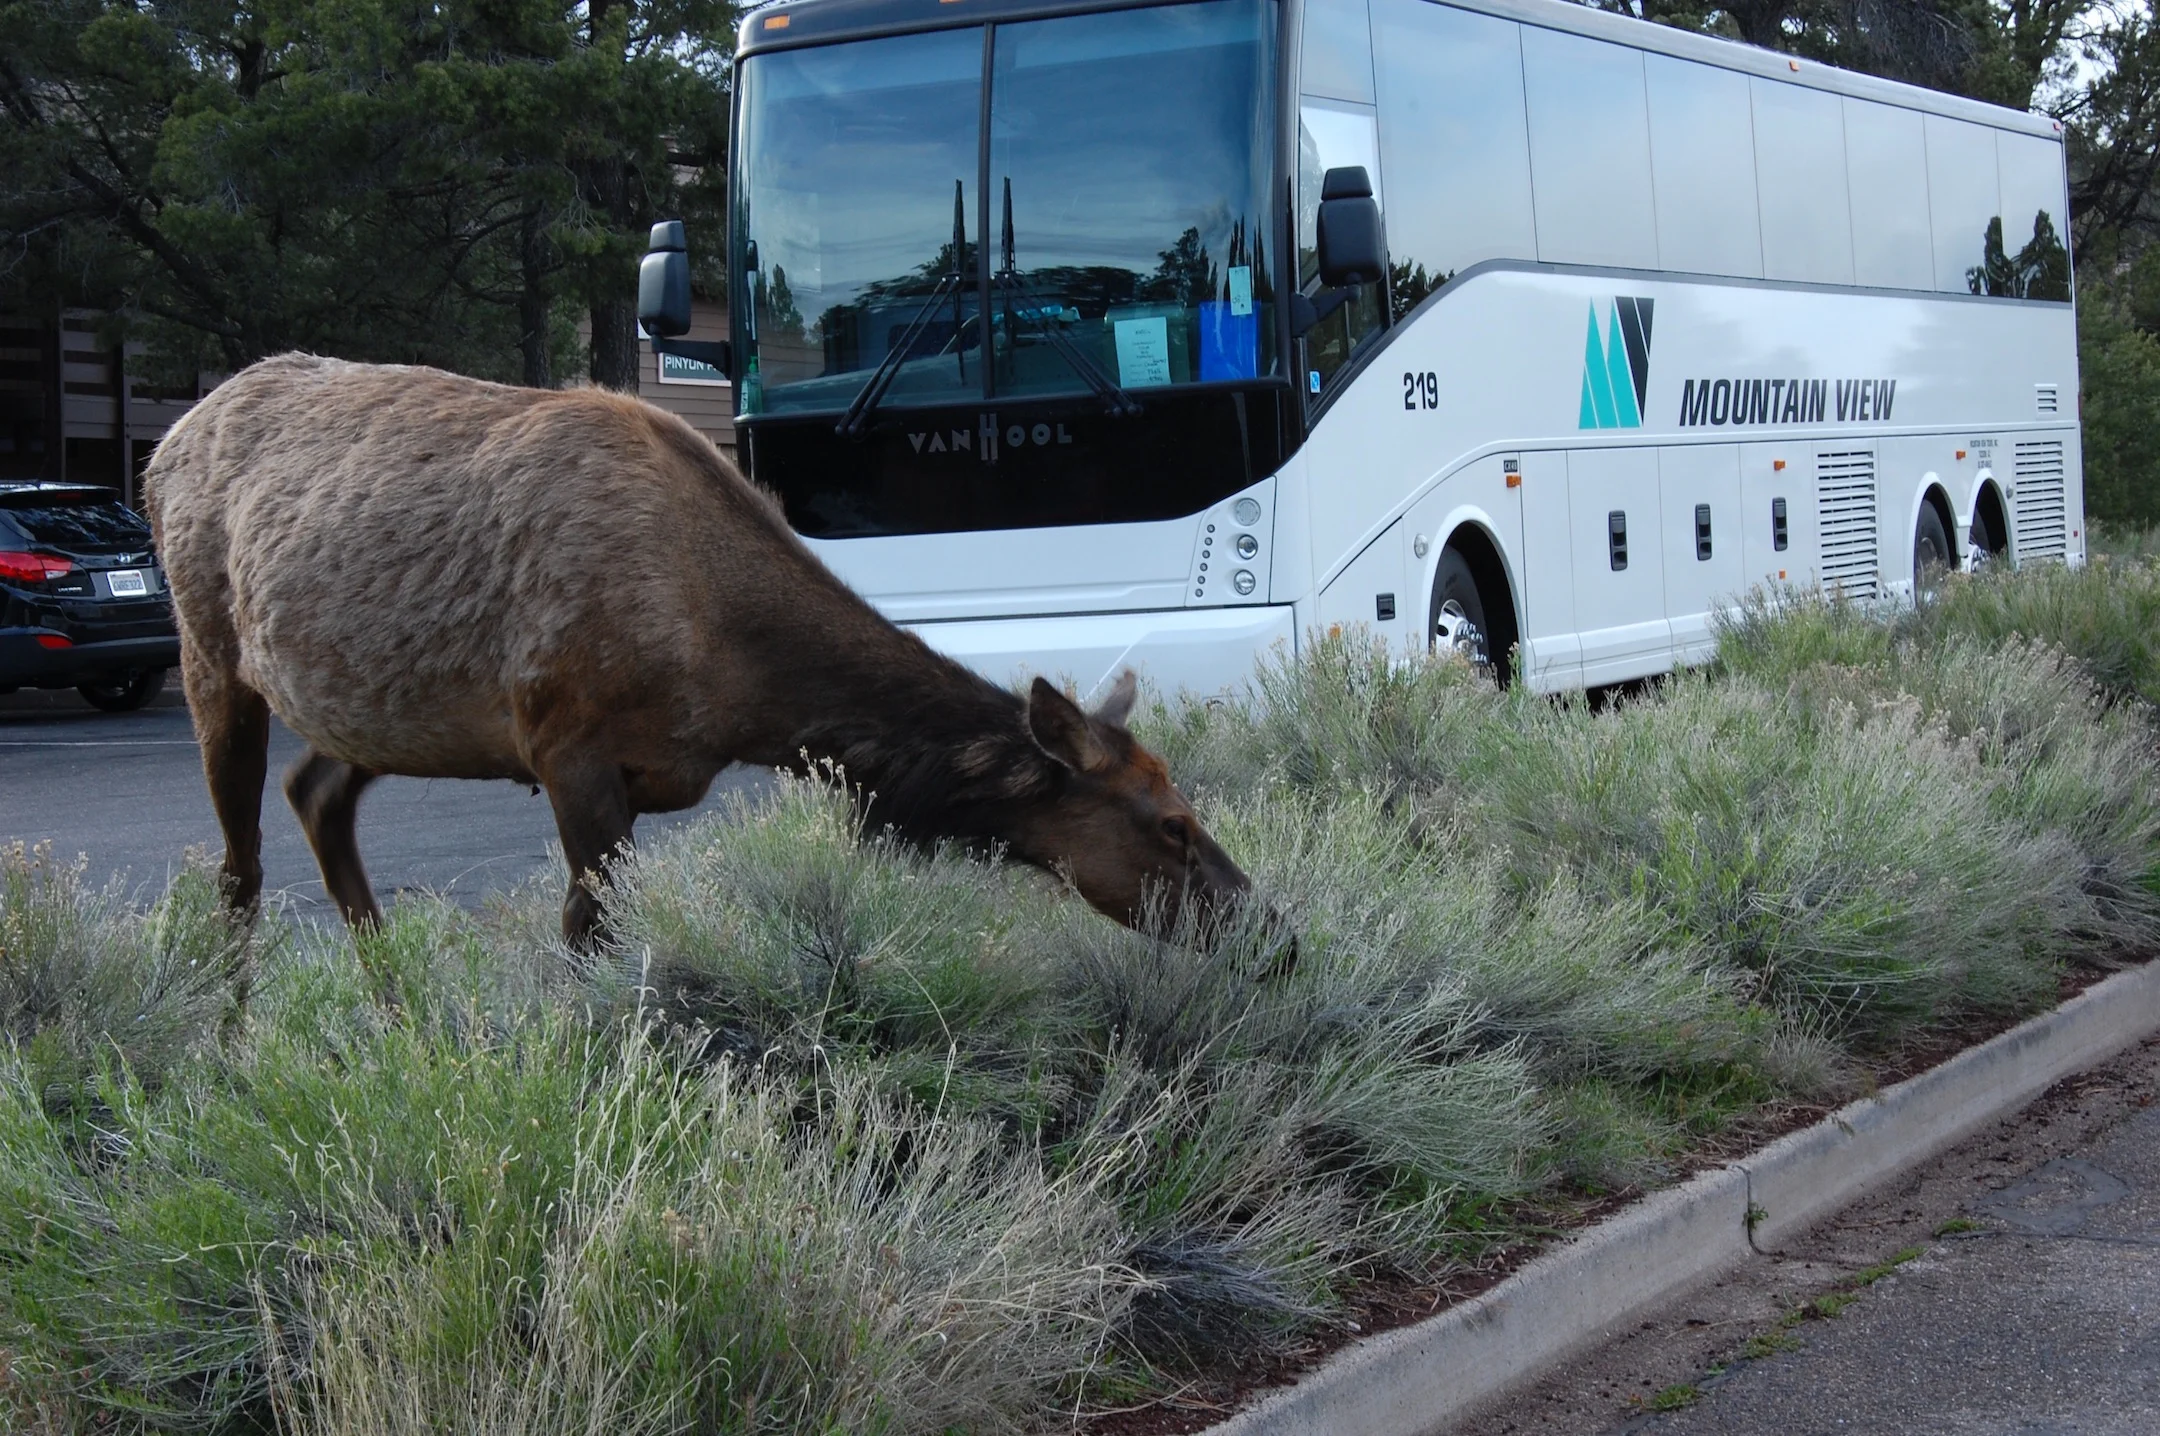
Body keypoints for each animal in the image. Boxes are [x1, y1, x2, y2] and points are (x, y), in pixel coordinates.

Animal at [145, 354, 1271, 954]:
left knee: (316, 792)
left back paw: (393, 1004)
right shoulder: (567, 747)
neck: (743, 688)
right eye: (1172, 823)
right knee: (237, 870)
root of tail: (163, 442)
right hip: (209, 653)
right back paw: (231, 1038)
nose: (1279, 934)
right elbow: (588, 934)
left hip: (374, 712)